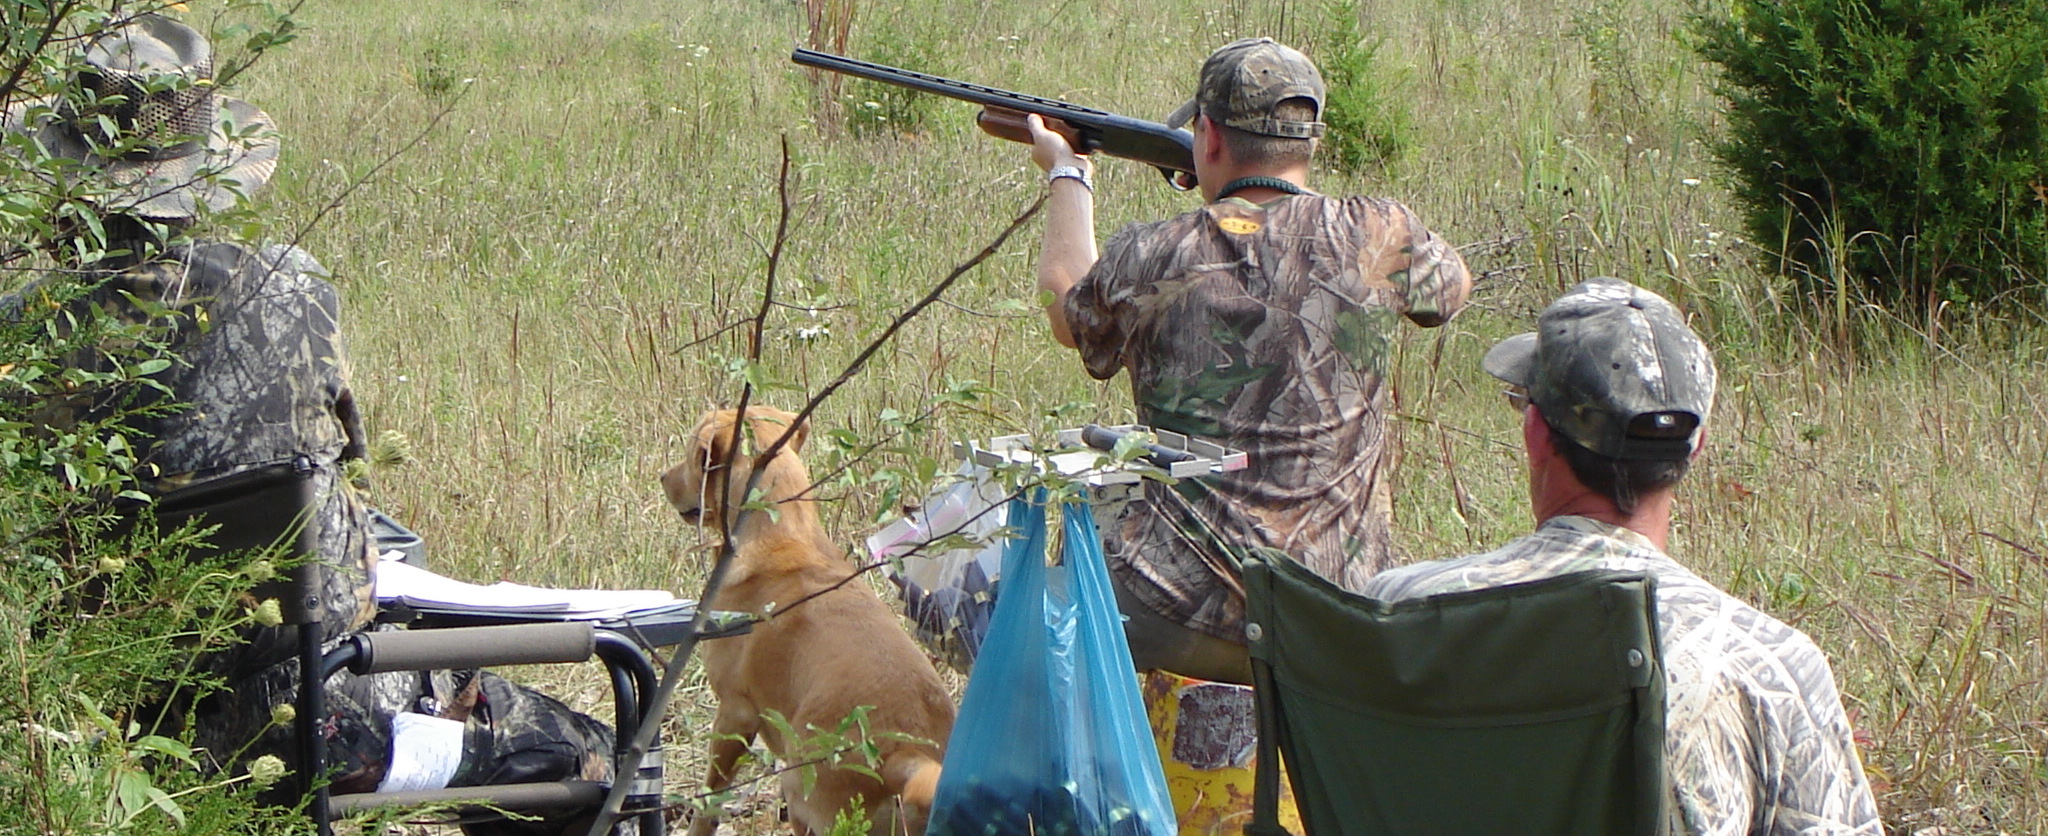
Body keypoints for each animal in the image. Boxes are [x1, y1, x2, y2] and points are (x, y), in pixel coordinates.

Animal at [667, 407, 962, 831]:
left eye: (693, 454)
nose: (663, 479)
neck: (783, 535)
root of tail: (908, 755)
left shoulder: (734, 714)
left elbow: (709, 801)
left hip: (797, 784)